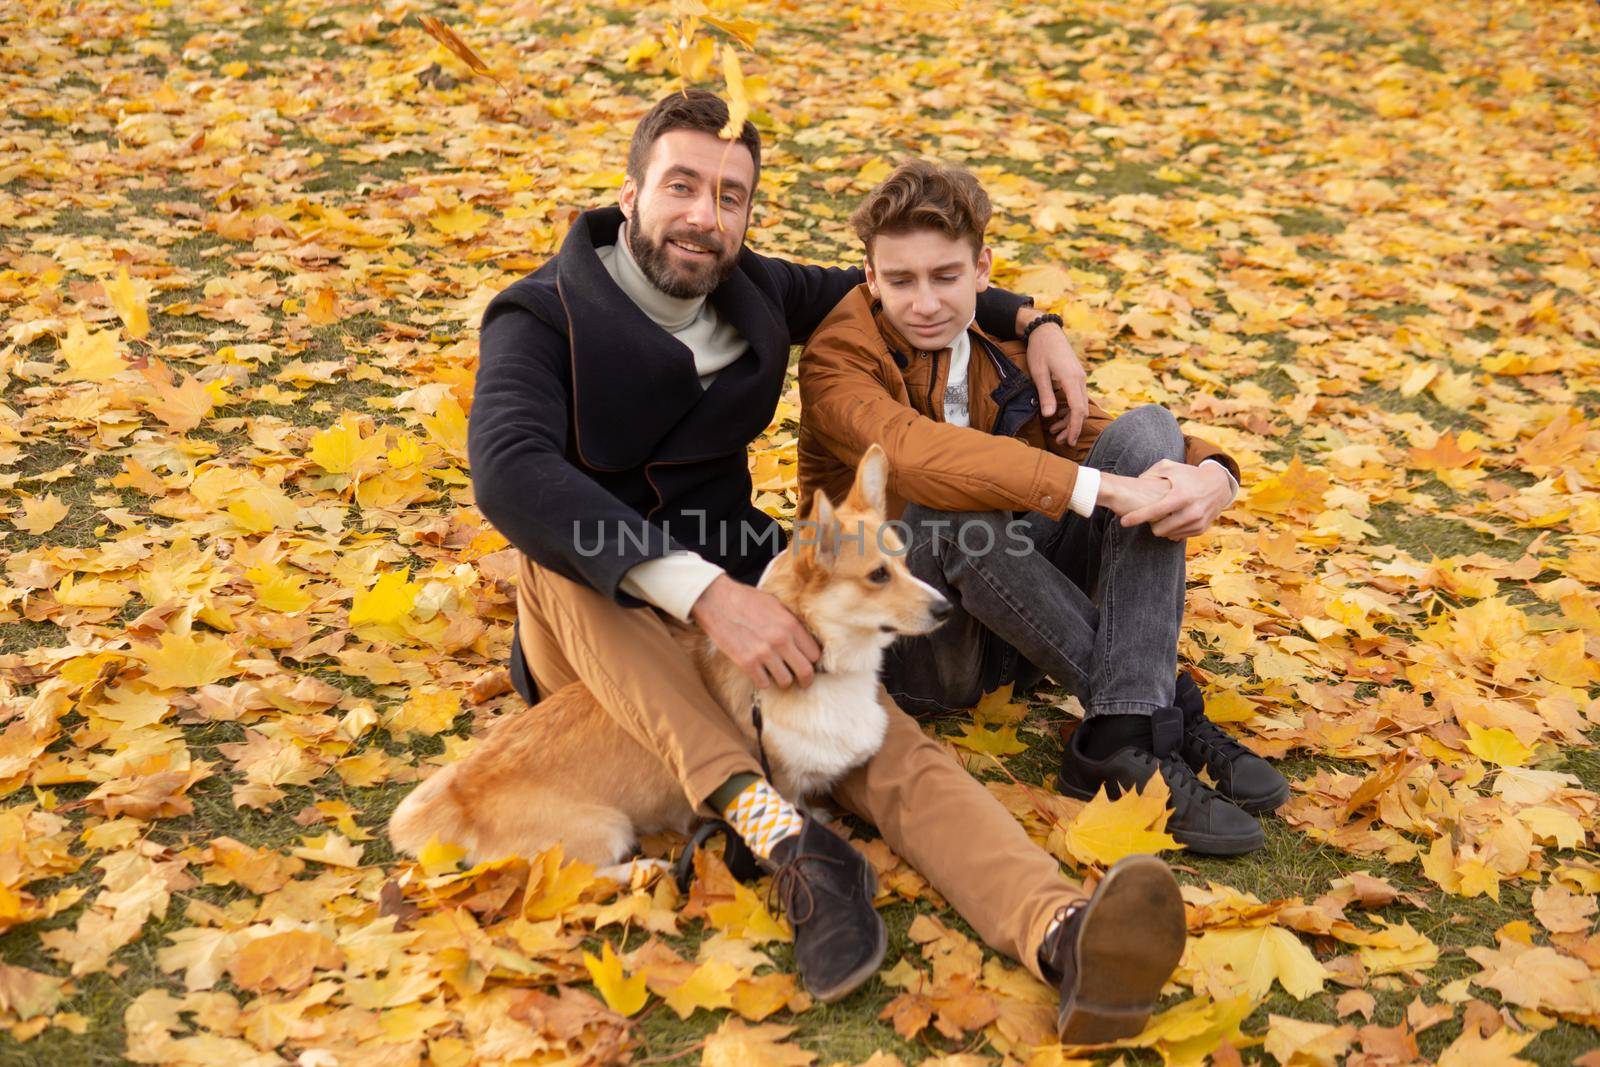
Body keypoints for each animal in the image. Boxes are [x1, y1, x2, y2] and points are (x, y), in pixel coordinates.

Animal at [388, 447, 947, 870]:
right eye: (877, 576)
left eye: (904, 561)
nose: (946, 609)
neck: (828, 664)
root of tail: (460, 799)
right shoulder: (782, 778)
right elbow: (795, 803)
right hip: (607, 829)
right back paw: (644, 871)